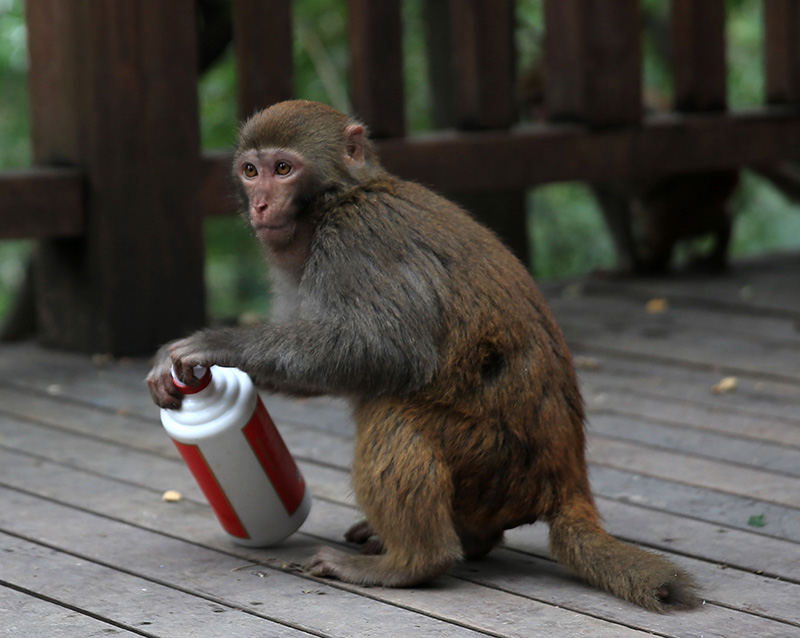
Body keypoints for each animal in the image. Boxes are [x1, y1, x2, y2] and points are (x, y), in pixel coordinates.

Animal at [147, 101, 696, 616]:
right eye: (250, 170)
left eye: (283, 169)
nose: (261, 203)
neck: (337, 199)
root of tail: (566, 479)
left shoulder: (356, 238)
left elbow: (387, 351)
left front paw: (214, 346)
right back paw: (463, 541)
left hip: (495, 460)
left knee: (393, 413)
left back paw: (413, 563)